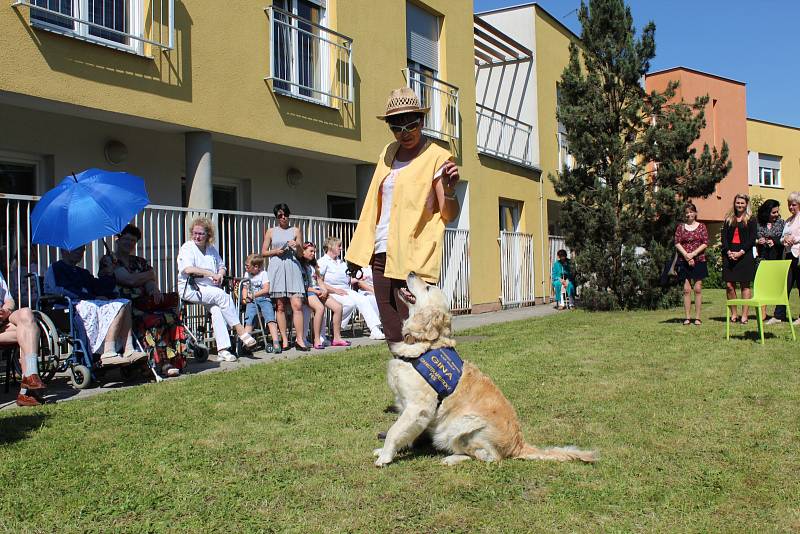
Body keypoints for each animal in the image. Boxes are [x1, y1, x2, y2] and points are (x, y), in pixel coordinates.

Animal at [374, 274, 592, 466]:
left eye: (427, 287)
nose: (410, 272)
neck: (426, 345)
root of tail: (519, 444)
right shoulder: (406, 404)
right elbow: (404, 432)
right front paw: (392, 450)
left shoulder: (418, 406)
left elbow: (394, 430)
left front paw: (385, 456)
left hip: (461, 425)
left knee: (487, 457)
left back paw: (451, 459)